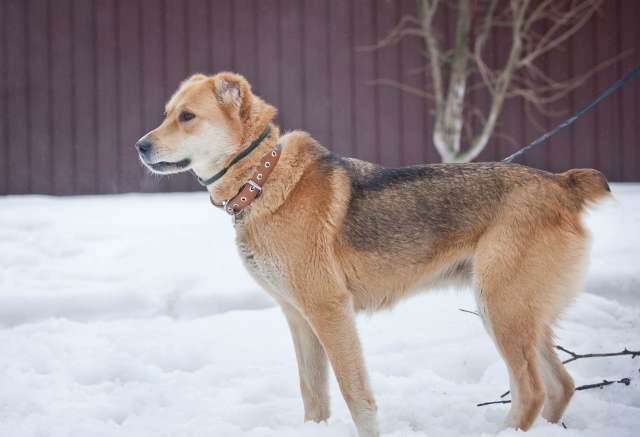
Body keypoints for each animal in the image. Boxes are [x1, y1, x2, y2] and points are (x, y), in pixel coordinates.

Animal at [135, 72, 608, 436]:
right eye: (166, 113)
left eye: (187, 117)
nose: (139, 146)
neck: (261, 180)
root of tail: (561, 184)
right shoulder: (298, 318)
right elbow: (313, 394)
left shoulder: (329, 311)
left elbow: (354, 394)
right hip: (522, 316)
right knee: (562, 385)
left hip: (500, 309)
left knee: (532, 391)